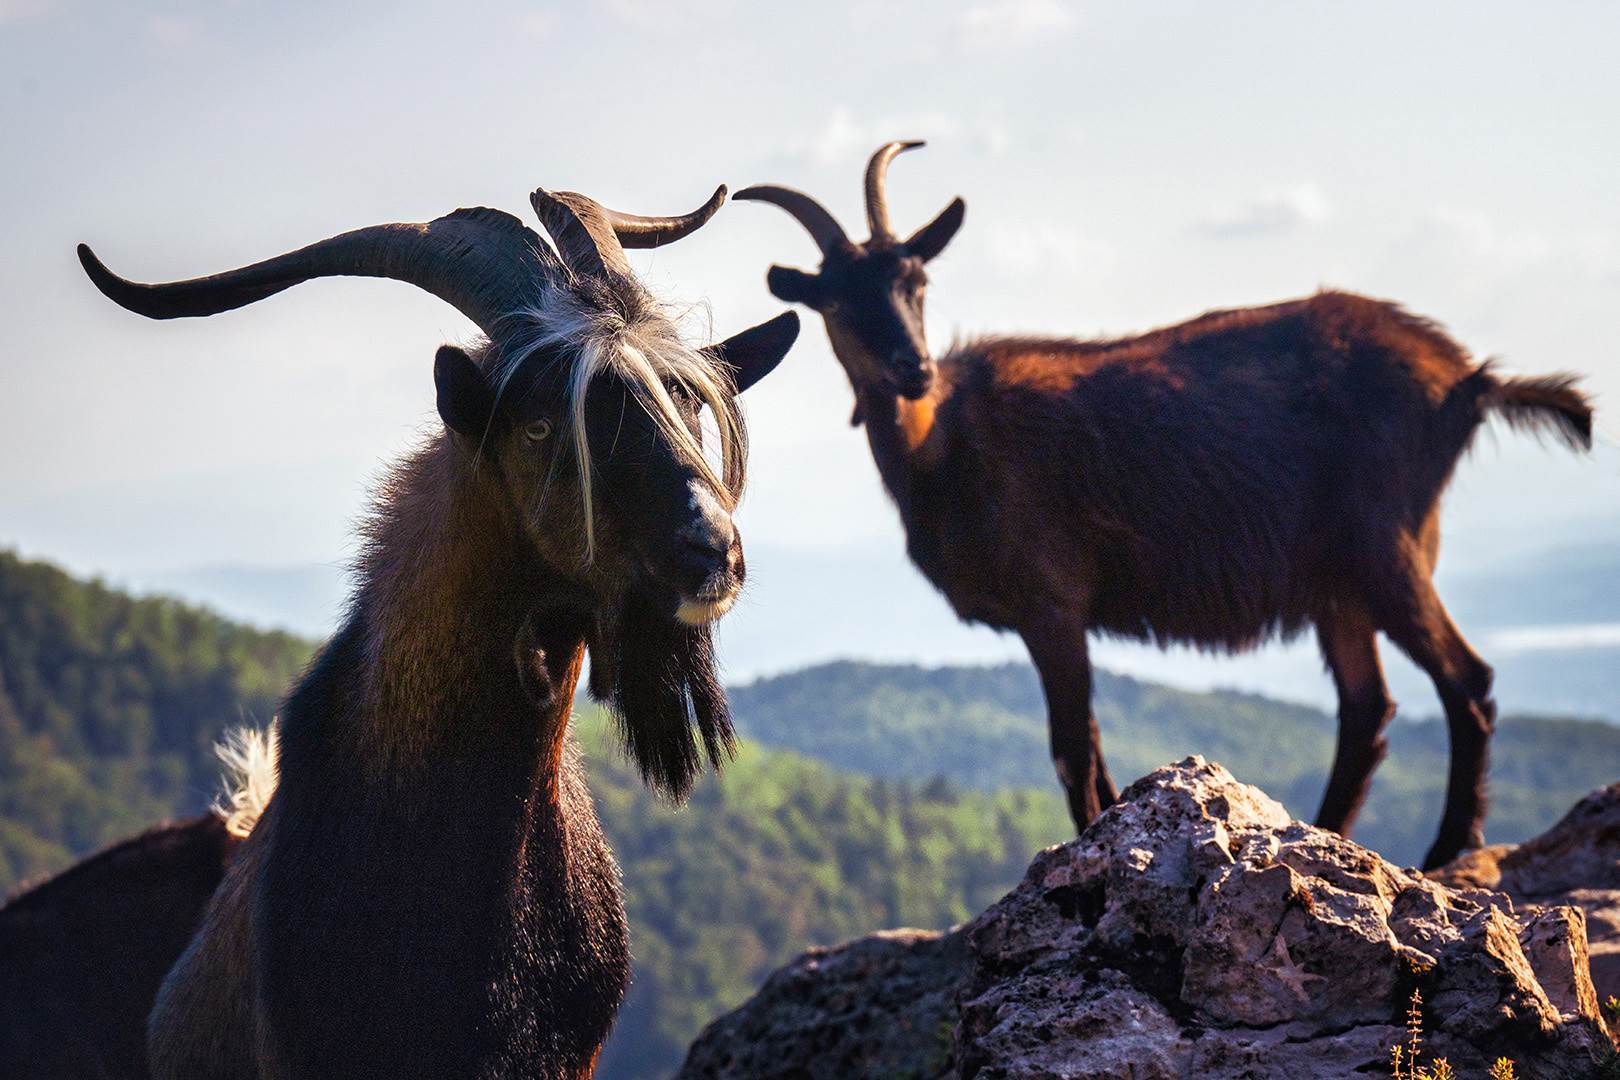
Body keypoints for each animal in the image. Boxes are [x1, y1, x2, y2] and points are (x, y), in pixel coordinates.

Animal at [738, 141, 1594, 867]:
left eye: (918, 283)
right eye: (836, 303)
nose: (912, 369)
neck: (946, 441)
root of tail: (1465, 379)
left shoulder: (1052, 602)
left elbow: (1072, 750)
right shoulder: (1059, 613)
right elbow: (1088, 752)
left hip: (1385, 547)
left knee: (1466, 680)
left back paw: (1446, 847)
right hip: (1339, 581)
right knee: (1369, 709)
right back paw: (1324, 839)